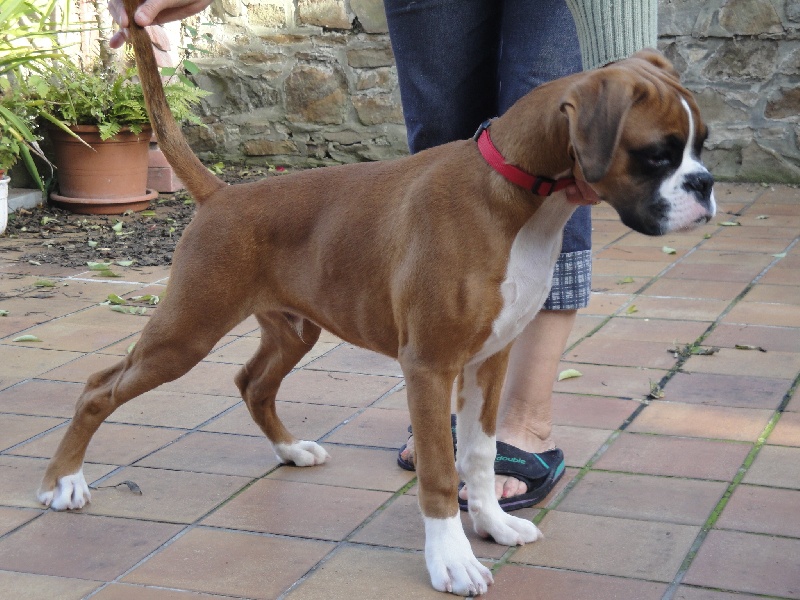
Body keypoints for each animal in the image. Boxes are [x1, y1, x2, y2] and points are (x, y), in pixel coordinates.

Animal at [37, 1, 715, 595]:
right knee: (98, 388)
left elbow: (480, 455)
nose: (706, 185)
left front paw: (492, 524)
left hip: (293, 328)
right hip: (187, 331)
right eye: (657, 154)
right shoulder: (431, 366)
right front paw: (452, 561)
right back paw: (62, 483)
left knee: (253, 384)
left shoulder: (489, 362)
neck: (517, 196)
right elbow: (441, 472)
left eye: (701, 145)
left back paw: (289, 450)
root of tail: (221, 193)